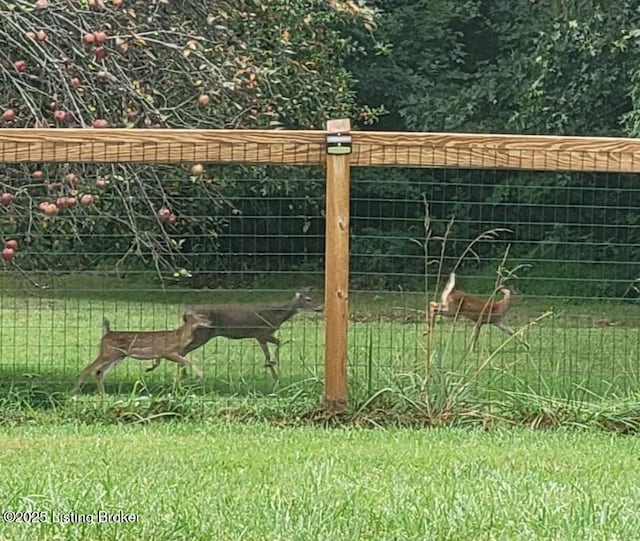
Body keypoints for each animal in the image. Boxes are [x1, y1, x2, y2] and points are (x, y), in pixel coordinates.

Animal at [72, 308, 212, 392]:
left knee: (99, 372)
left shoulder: (164, 354)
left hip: (118, 356)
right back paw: (74, 392)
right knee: (89, 369)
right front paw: (199, 377)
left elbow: (186, 360)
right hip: (108, 352)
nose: (210, 322)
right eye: (201, 316)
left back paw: (102, 394)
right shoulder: (167, 352)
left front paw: (149, 368)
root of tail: (107, 332)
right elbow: (188, 361)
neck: (179, 337)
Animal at [148, 286, 322, 380]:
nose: (320, 307)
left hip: (203, 334)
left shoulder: (260, 336)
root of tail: (186, 313)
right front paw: (272, 364)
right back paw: (175, 372)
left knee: (181, 347)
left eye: (313, 297)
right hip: (203, 333)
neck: (276, 316)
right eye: (308, 299)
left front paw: (273, 373)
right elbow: (278, 344)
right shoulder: (262, 332)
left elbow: (267, 352)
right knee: (181, 348)